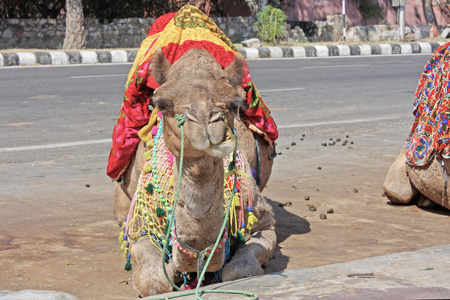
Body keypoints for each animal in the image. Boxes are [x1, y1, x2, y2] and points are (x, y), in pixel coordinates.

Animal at [112, 48, 278, 296]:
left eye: (234, 104)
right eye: (162, 103)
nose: (204, 120)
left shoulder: (263, 222)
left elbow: (239, 272)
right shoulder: (140, 227)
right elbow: (155, 283)